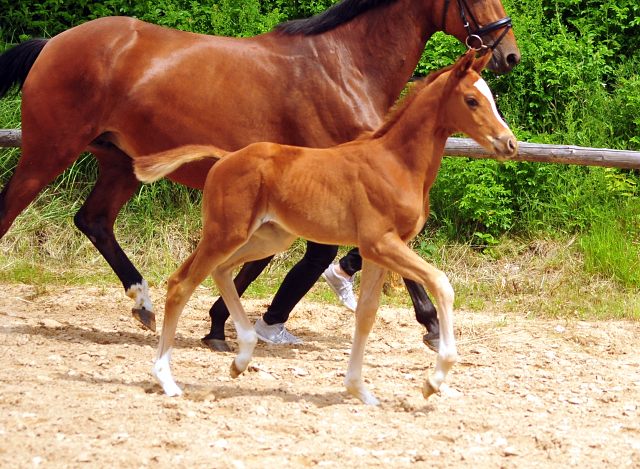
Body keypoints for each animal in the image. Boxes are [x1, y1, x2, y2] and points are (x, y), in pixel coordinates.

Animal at [134, 50, 516, 402]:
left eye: (492, 97)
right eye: (471, 100)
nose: (509, 143)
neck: (397, 163)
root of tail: (225, 157)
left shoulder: (376, 252)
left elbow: (366, 315)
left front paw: (359, 390)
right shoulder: (380, 242)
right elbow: (441, 284)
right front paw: (433, 380)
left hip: (268, 237)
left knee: (221, 271)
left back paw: (241, 358)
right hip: (224, 233)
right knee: (181, 284)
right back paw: (167, 380)